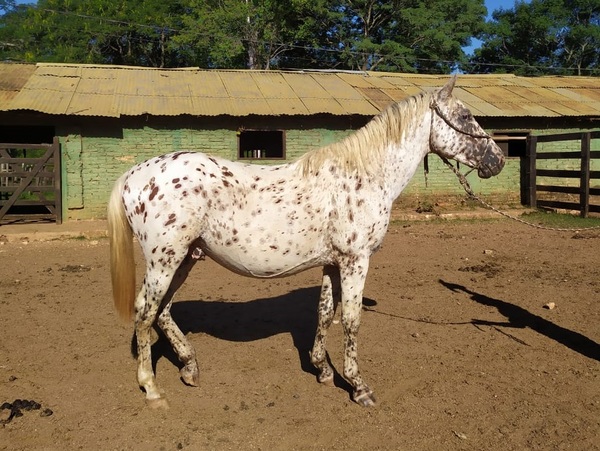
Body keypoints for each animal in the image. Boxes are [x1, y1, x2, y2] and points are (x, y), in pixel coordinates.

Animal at [109, 76, 506, 408]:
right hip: (165, 259)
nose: (498, 160)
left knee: (163, 311)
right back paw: (151, 388)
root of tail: (134, 175)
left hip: (186, 257)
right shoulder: (355, 261)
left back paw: (190, 367)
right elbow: (351, 320)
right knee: (145, 312)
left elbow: (325, 313)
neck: (363, 176)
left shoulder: (333, 262)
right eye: (466, 115)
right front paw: (359, 387)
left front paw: (323, 370)